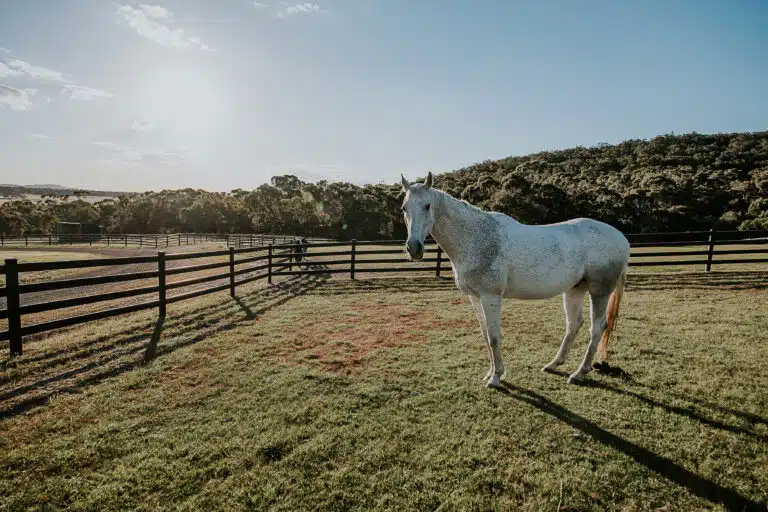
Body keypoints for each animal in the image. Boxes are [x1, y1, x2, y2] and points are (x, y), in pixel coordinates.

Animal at [400, 172, 630, 388]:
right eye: (404, 208)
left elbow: (494, 337)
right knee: (574, 324)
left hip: (599, 291)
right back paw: (554, 364)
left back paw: (579, 373)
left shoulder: (490, 297)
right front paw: (489, 373)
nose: (414, 248)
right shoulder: (475, 298)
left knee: (597, 328)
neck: (477, 237)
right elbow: (485, 336)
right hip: (574, 289)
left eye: (427, 205)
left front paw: (496, 377)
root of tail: (621, 238)